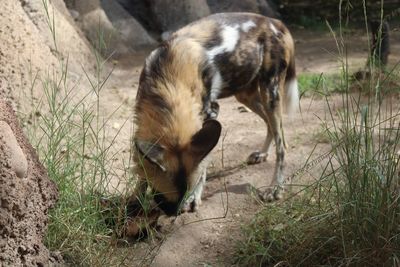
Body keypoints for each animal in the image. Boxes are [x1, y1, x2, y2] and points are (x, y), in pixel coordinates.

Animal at [133, 13, 298, 218]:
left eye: (186, 193)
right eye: (160, 194)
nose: (175, 213)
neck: (168, 83)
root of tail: (274, 21)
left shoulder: (210, 113)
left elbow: (202, 167)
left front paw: (194, 198)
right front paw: (135, 200)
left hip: (270, 93)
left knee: (281, 144)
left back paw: (276, 187)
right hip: (246, 96)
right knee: (271, 126)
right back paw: (262, 154)